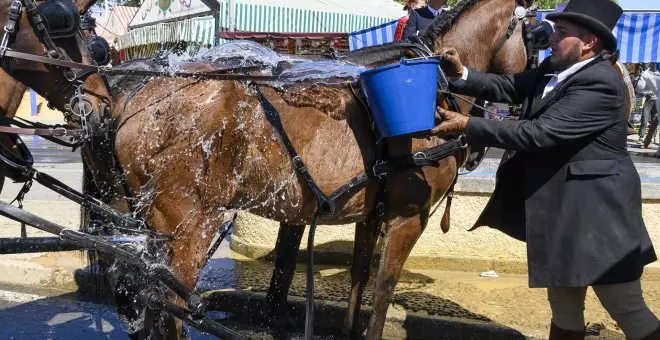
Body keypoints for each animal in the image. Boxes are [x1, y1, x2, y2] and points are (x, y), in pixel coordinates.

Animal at [99, 0, 536, 338]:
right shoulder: (408, 218)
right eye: (539, 34)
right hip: (188, 224)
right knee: (165, 303)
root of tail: (140, 94)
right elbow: (383, 291)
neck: (434, 91)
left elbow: (359, 279)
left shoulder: (372, 215)